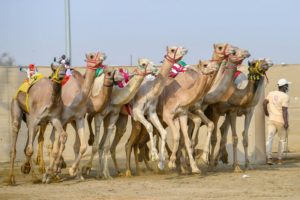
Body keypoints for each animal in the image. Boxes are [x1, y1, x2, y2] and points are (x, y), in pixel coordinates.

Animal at [41, 51, 106, 183]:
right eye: (91, 56)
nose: (103, 56)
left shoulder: (78, 118)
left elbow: (82, 146)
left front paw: (72, 171)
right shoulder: (62, 119)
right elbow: (58, 145)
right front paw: (54, 170)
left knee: (57, 143)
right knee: (48, 142)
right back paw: (46, 172)